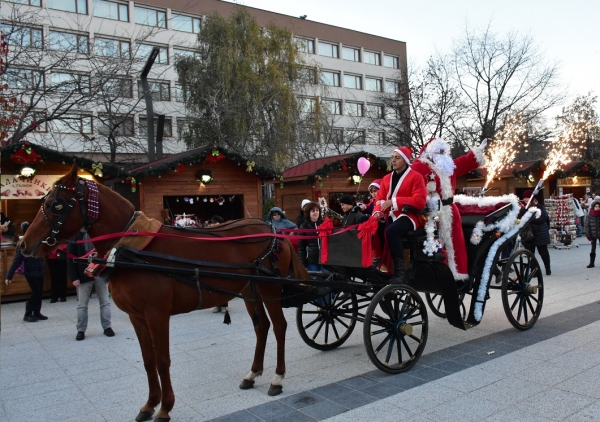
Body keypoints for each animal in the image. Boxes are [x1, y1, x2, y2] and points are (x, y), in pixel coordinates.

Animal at [18, 167, 310, 422]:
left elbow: (162, 360)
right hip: (249, 291)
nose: (24, 244)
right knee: (262, 327)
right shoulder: (137, 317)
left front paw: (165, 407)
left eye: (56, 205)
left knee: (280, 326)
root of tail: (274, 231)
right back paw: (253, 373)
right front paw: (149, 405)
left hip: (269, 289)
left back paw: (277, 377)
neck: (132, 248)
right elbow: (148, 361)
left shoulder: (156, 314)